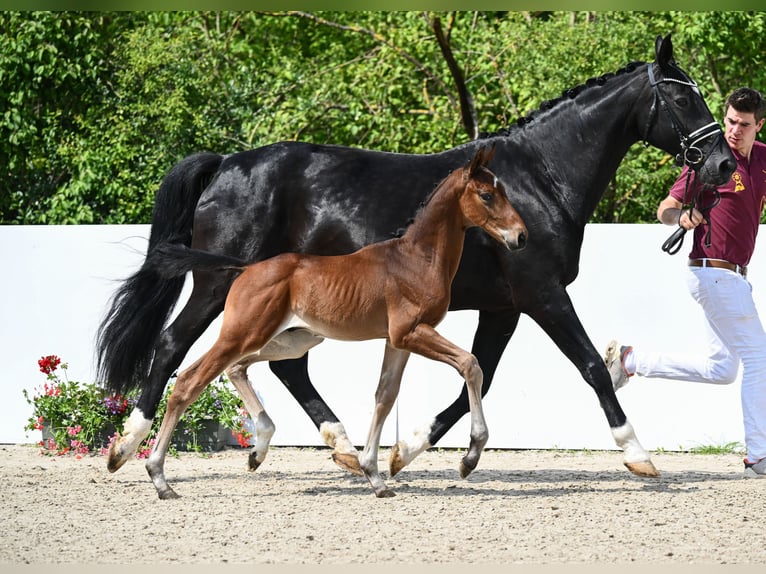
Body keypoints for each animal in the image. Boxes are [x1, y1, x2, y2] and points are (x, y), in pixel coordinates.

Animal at [144, 148, 528, 500]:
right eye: (487, 195)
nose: (521, 236)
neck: (415, 258)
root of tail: (246, 268)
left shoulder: (397, 341)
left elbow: (385, 396)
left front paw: (375, 476)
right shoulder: (411, 332)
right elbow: (471, 364)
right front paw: (470, 457)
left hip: (291, 340)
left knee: (238, 368)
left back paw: (258, 450)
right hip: (244, 333)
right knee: (189, 380)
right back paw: (159, 478)